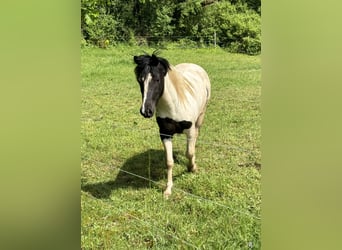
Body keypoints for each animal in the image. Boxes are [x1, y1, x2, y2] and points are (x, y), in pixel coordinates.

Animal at [134, 52, 211, 196]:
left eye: (157, 79)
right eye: (140, 80)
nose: (146, 111)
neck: (174, 106)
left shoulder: (190, 131)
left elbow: (189, 153)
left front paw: (192, 168)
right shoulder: (165, 134)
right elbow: (169, 162)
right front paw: (168, 189)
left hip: (201, 117)